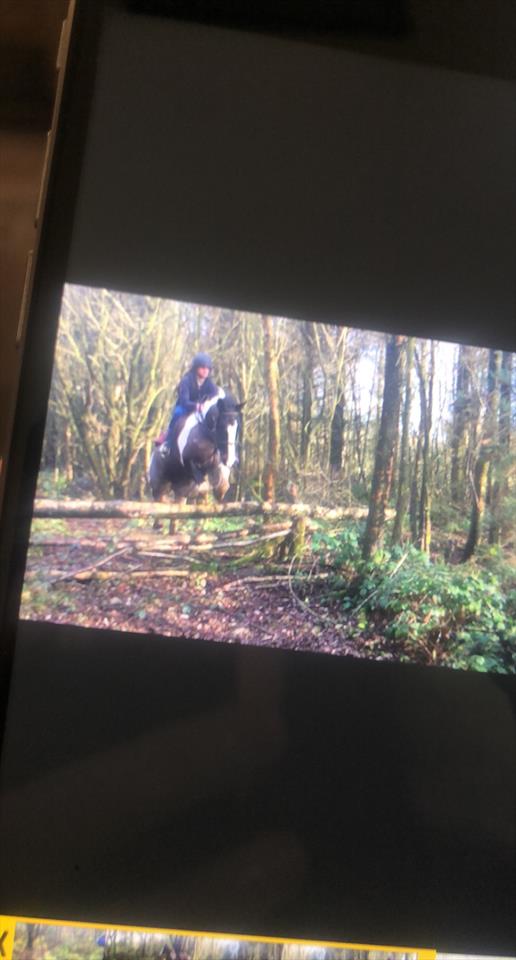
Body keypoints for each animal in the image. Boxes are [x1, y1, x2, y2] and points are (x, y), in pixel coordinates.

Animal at [148, 390, 244, 525]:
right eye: (221, 426)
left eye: (237, 427)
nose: (230, 460)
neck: (207, 434)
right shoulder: (189, 462)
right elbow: (202, 485)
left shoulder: (218, 463)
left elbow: (222, 485)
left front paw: (218, 494)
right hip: (159, 482)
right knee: (159, 499)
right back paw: (159, 523)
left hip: (180, 489)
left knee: (176, 503)